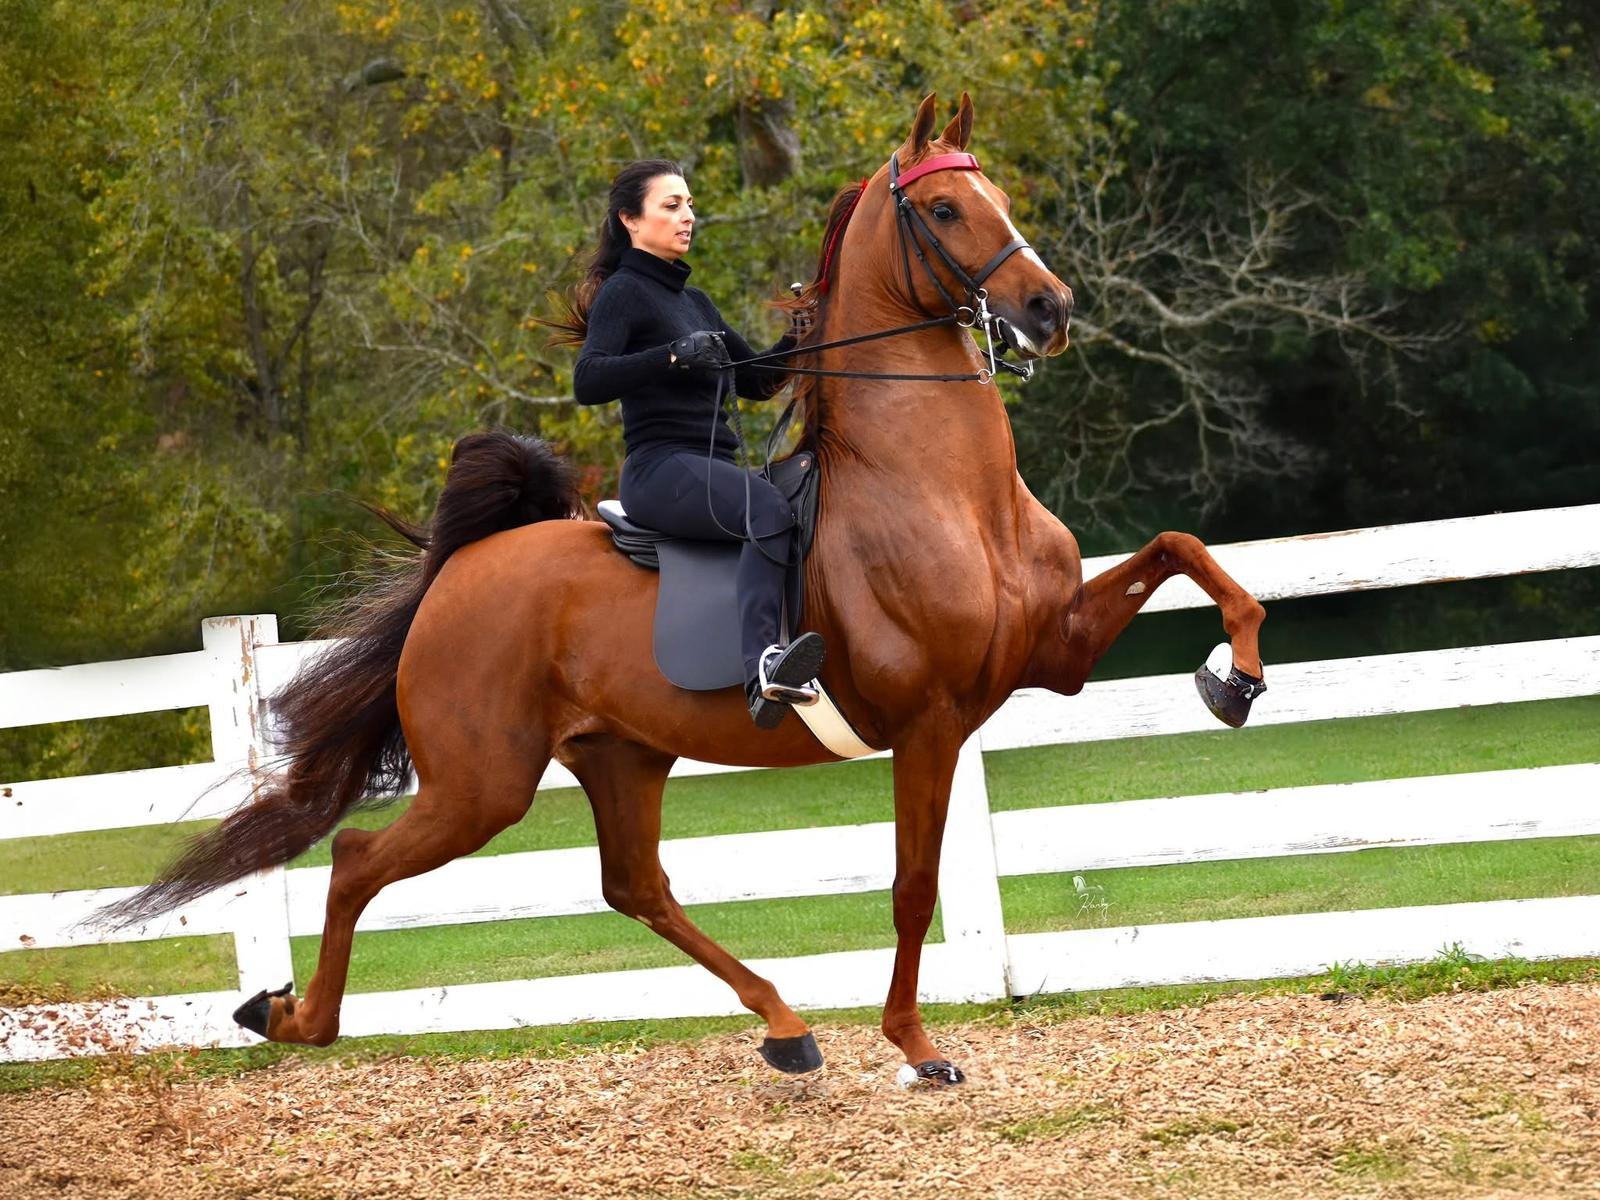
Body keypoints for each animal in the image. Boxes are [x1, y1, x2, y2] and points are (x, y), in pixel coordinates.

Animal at [104, 92, 1266, 1085]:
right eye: (945, 208)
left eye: (1001, 197)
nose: (1049, 309)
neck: (945, 488)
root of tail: (462, 572)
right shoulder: (931, 720)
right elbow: (912, 886)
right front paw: (916, 1045)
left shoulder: (1055, 653)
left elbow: (1189, 550)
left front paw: (1236, 679)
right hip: (483, 785)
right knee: (354, 857)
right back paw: (293, 1018)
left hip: (621, 757)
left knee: (634, 887)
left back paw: (787, 1029)